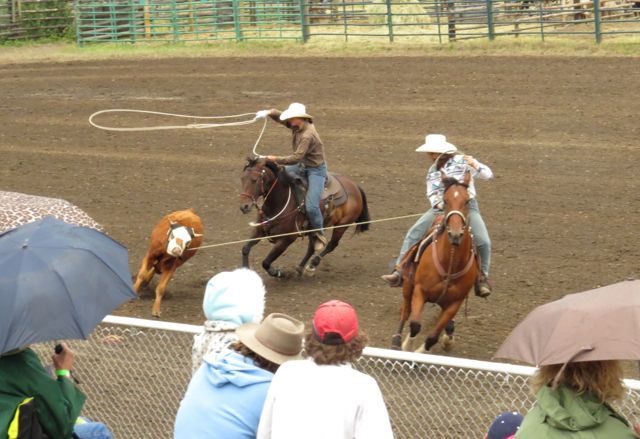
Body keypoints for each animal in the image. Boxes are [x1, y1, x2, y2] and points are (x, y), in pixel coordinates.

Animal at [240, 158, 370, 278]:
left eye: (254, 180)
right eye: (242, 179)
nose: (244, 206)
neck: (281, 202)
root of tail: (355, 186)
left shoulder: (286, 240)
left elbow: (266, 262)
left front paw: (278, 273)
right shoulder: (259, 230)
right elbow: (245, 248)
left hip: (342, 226)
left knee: (332, 245)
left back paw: (312, 265)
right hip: (314, 228)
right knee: (312, 247)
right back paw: (300, 267)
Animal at [392, 172, 478, 354]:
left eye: (467, 201)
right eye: (445, 200)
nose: (455, 234)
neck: (450, 264)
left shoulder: (454, 304)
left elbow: (433, 336)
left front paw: (421, 352)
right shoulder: (419, 290)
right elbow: (415, 324)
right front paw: (407, 346)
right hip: (408, 285)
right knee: (405, 311)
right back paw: (396, 340)